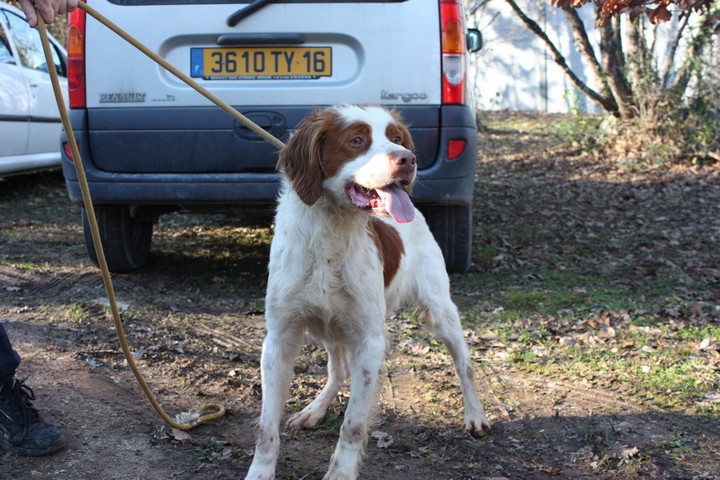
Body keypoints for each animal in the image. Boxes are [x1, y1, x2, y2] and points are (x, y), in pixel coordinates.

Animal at [246, 106, 490, 480]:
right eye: (357, 140)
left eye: (396, 137)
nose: (409, 159)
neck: (330, 233)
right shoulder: (280, 338)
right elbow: (265, 427)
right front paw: (259, 471)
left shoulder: (369, 340)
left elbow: (354, 424)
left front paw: (341, 473)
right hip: (327, 327)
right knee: (338, 371)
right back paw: (314, 410)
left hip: (439, 311)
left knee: (465, 363)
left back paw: (475, 415)